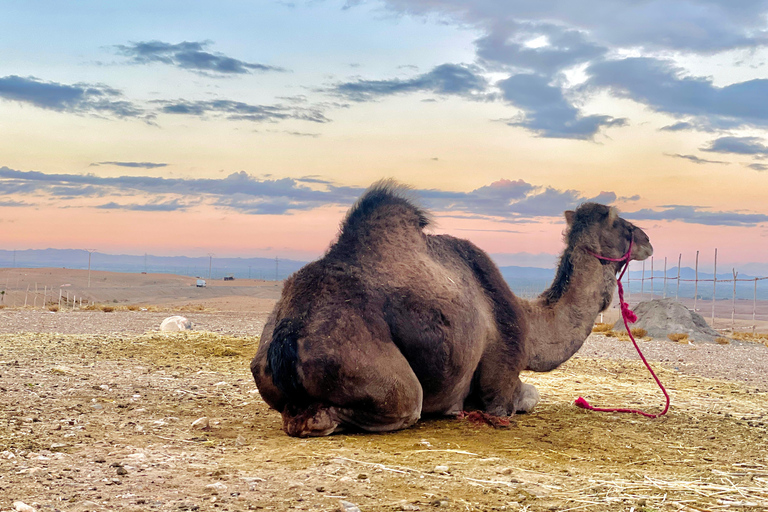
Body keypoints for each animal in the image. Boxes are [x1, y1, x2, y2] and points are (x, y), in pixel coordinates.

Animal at [252, 179, 656, 436]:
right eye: (622, 223)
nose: (649, 240)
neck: (530, 323)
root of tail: (286, 337)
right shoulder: (500, 384)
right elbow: (528, 397)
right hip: (373, 371)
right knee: (397, 406)